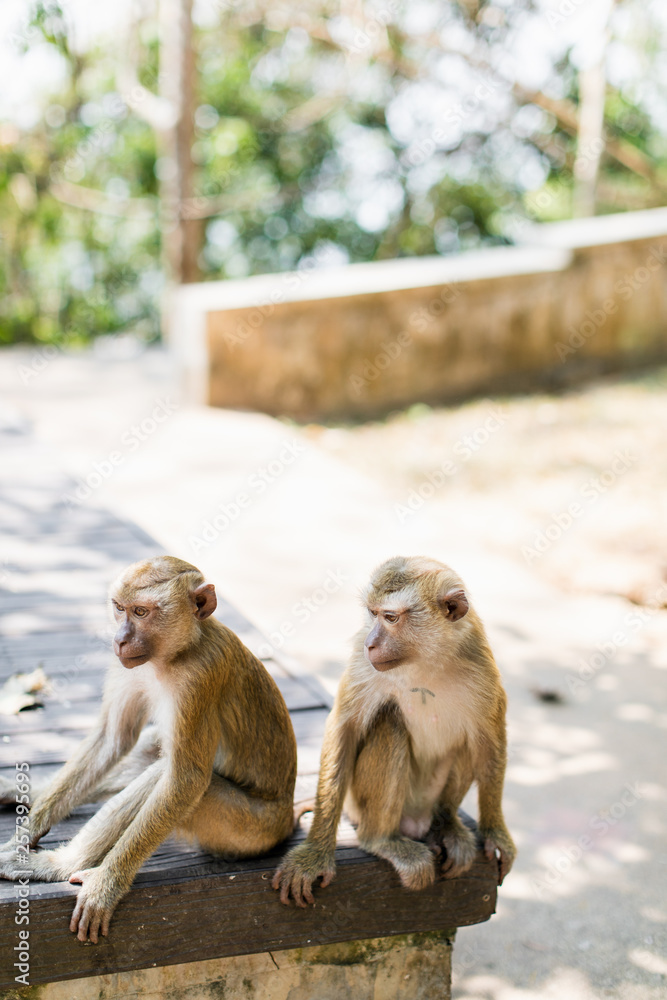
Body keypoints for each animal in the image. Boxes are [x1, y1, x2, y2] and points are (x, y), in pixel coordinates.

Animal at [0, 556, 297, 942]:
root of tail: (287, 819)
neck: (176, 653)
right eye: (120, 608)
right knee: (150, 752)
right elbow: (112, 739)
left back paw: (62, 865)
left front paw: (105, 886)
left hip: (249, 831)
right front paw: (25, 833)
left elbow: (186, 781)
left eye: (141, 612)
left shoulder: (199, 679)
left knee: (169, 776)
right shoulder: (129, 668)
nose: (120, 639)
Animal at [272, 556, 515, 906]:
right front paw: (315, 853)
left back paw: (445, 824)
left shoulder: (480, 665)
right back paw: (381, 840)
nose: (369, 643)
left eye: (390, 617)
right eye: (372, 614)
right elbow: (345, 730)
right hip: (358, 803)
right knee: (391, 724)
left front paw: (495, 832)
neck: (425, 660)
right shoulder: (363, 665)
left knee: (465, 743)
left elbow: (489, 741)